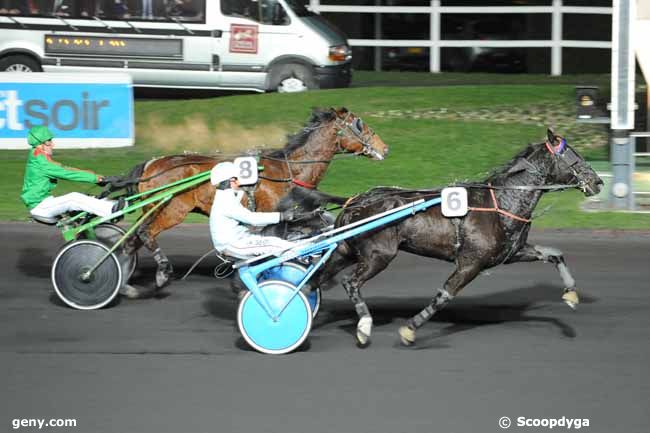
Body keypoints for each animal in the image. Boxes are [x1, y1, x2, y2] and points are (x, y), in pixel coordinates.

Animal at [128, 106, 390, 292]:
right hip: (172, 210)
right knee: (145, 233)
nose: (385, 148)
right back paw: (162, 272)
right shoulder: (271, 216)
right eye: (359, 125)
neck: (290, 171)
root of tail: (151, 164)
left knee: (133, 240)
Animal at [310, 129, 604, 348]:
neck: (502, 202)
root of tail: (356, 200)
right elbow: (444, 295)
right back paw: (364, 326)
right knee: (349, 282)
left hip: (346, 250)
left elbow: (554, 254)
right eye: (573, 156)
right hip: (378, 256)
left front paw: (571, 294)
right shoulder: (470, 263)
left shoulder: (512, 252)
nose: (598, 182)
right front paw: (410, 329)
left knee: (317, 279)